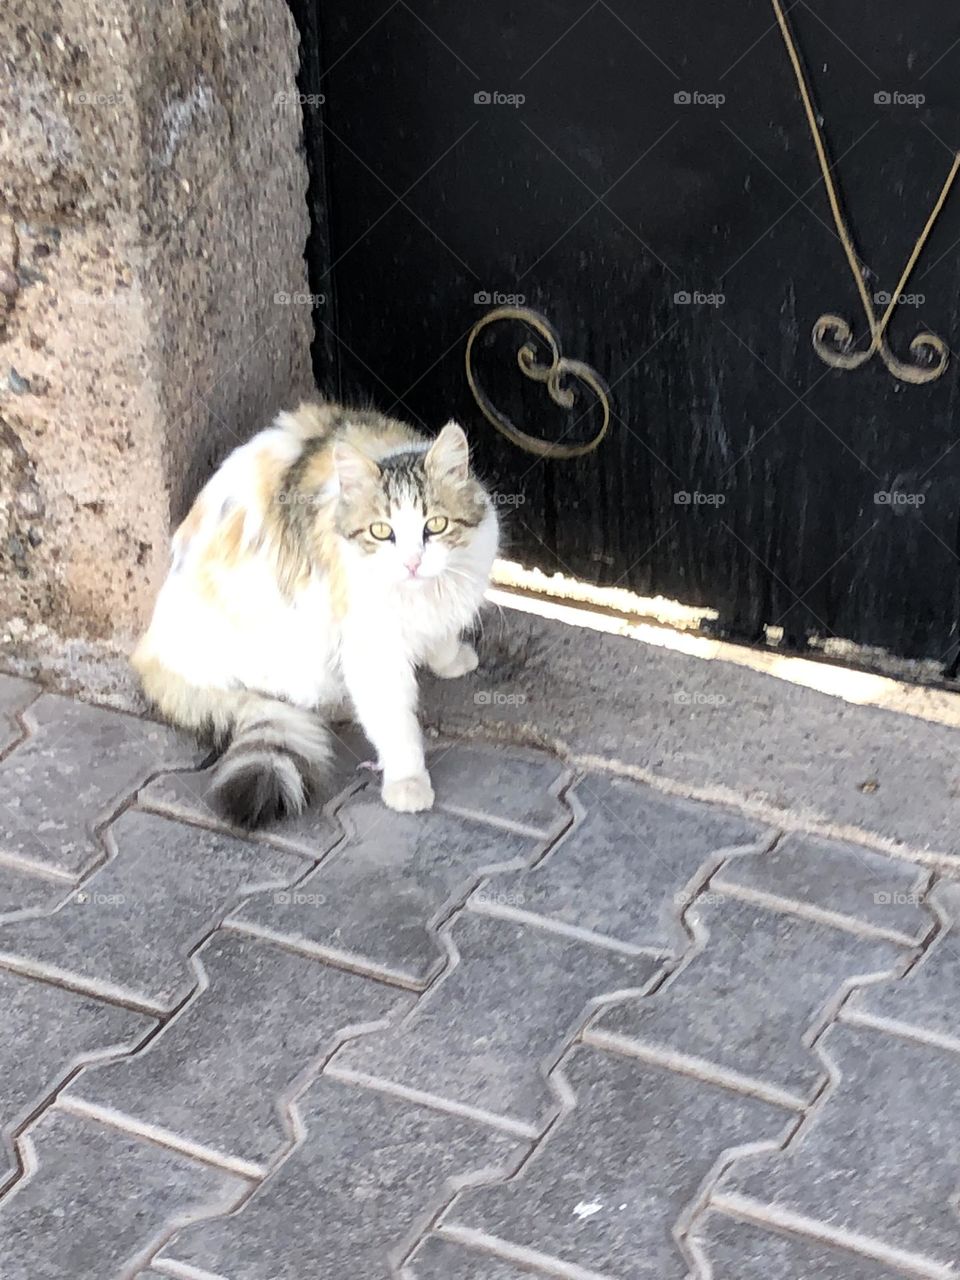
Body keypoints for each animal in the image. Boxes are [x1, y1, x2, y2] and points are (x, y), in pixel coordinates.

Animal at [134, 399, 499, 829]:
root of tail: (152, 651)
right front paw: (407, 783)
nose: (412, 563)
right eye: (381, 532)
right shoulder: (371, 646)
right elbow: (397, 725)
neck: (422, 594)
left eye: (436, 525)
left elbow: (441, 634)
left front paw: (451, 659)